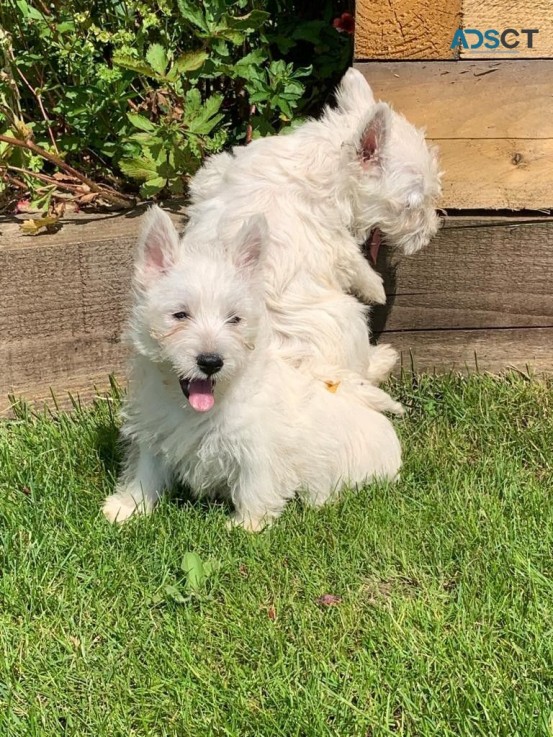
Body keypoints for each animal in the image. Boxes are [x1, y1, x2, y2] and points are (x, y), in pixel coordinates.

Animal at [101, 207, 398, 528]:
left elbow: (254, 483)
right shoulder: (154, 431)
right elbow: (146, 470)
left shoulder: (257, 448)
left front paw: (247, 526)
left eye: (234, 319)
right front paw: (128, 507)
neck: (193, 408)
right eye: (180, 315)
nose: (211, 362)